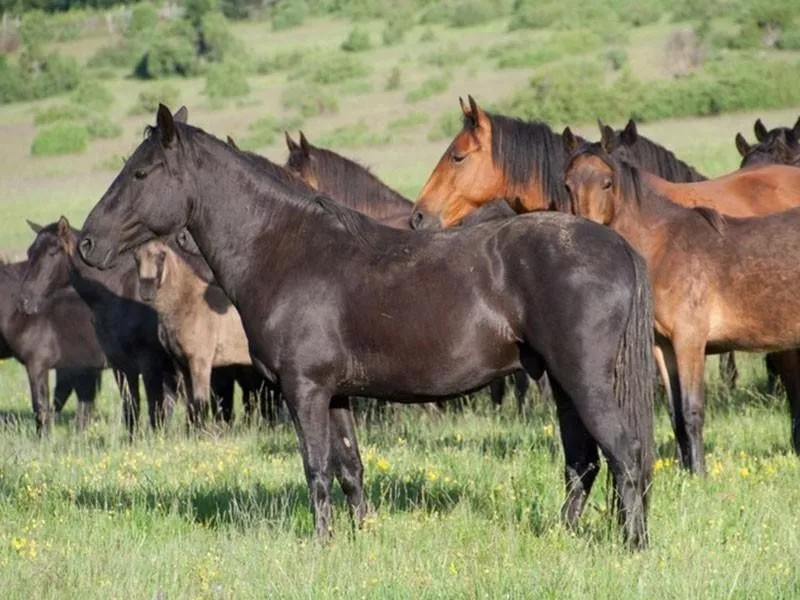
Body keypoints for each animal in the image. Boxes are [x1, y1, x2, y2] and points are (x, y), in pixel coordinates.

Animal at [78, 104, 660, 548]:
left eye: (142, 173)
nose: (87, 243)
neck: (286, 249)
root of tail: (617, 245)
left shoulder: (304, 390)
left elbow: (316, 468)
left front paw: (322, 544)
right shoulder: (335, 394)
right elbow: (350, 469)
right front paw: (359, 536)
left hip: (584, 381)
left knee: (626, 455)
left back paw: (633, 545)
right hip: (562, 384)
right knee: (583, 463)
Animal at [564, 126, 800, 474]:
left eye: (606, 182)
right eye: (567, 184)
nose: (587, 236)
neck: (665, 247)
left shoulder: (690, 341)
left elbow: (691, 410)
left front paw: (700, 473)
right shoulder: (664, 348)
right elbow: (675, 413)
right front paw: (686, 471)